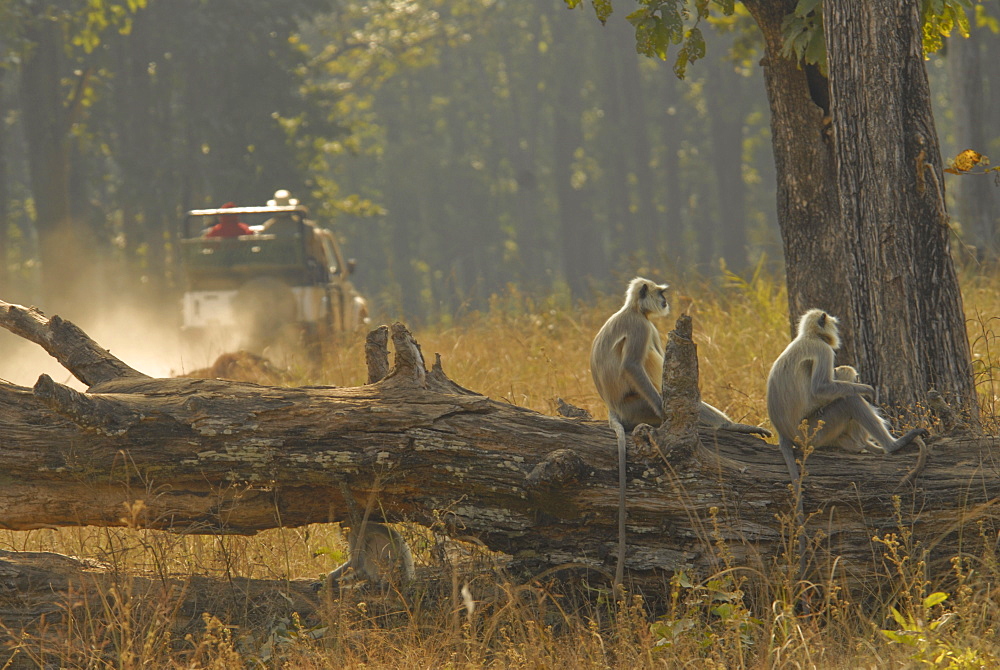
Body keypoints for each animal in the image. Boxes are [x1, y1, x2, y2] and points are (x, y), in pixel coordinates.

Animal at [592, 278, 772, 588]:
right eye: (660, 293)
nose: (666, 302)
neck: (633, 310)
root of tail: (612, 408)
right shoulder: (641, 326)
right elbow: (631, 365)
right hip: (638, 406)